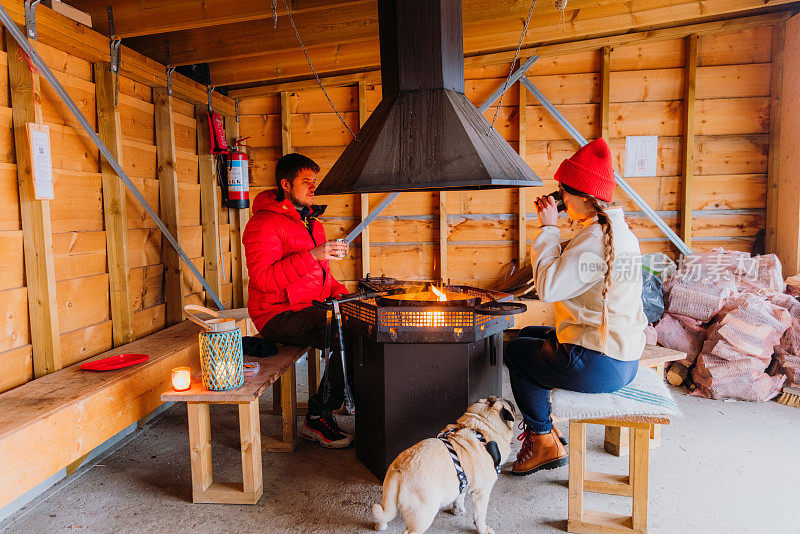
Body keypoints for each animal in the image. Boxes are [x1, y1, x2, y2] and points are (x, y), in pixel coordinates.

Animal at [370, 398, 516, 534]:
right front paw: (483, 529)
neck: (481, 428)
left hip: (389, 500)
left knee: (383, 515)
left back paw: (380, 526)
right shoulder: (482, 492)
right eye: (509, 404)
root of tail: (399, 471)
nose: (511, 401)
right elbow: (480, 516)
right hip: (424, 514)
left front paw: (457, 510)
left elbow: (459, 496)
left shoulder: (463, 479)